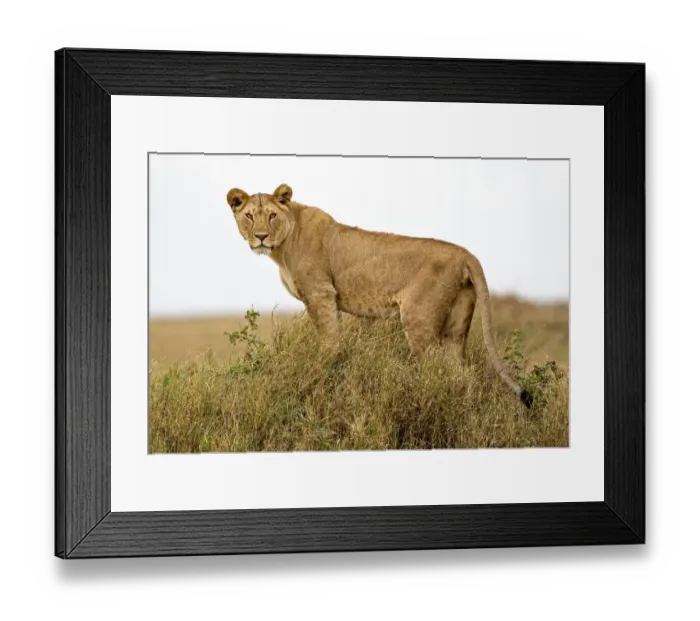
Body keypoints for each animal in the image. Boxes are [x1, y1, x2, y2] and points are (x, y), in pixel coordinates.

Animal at [226, 184, 533, 407]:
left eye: (272, 215)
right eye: (249, 216)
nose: (261, 236)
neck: (283, 244)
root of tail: (465, 253)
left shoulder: (320, 293)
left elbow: (329, 342)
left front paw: (322, 370)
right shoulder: (328, 298)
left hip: (419, 319)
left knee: (434, 369)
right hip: (456, 326)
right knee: (462, 373)